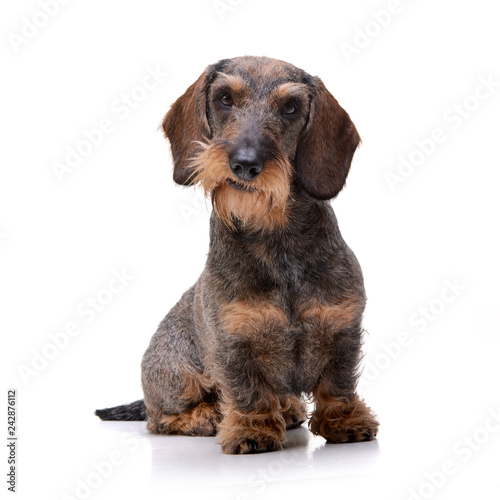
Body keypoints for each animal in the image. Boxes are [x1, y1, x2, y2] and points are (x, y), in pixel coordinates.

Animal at [96, 56, 378, 456]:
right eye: (225, 99)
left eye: (291, 107)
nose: (245, 163)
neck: (275, 241)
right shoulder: (232, 340)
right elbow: (248, 391)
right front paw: (252, 428)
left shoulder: (343, 327)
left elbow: (337, 384)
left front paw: (345, 421)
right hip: (177, 379)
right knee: (159, 417)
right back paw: (207, 416)